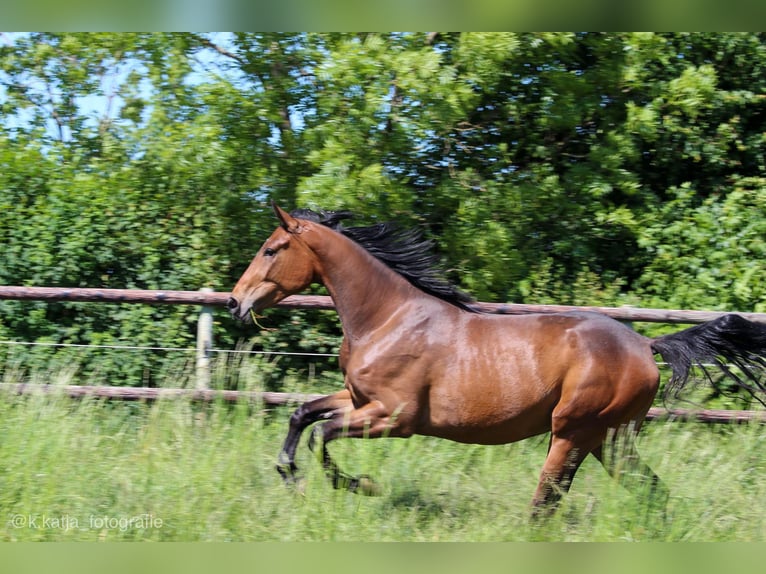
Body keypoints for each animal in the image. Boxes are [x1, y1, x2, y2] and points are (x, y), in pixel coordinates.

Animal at [228, 205, 766, 520]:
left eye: (272, 249)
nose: (235, 302)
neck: (388, 317)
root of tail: (645, 347)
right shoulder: (358, 399)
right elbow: (302, 415)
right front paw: (290, 476)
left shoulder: (393, 417)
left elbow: (321, 434)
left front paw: (360, 486)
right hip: (609, 439)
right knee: (649, 491)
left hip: (573, 432)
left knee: (546, 501)